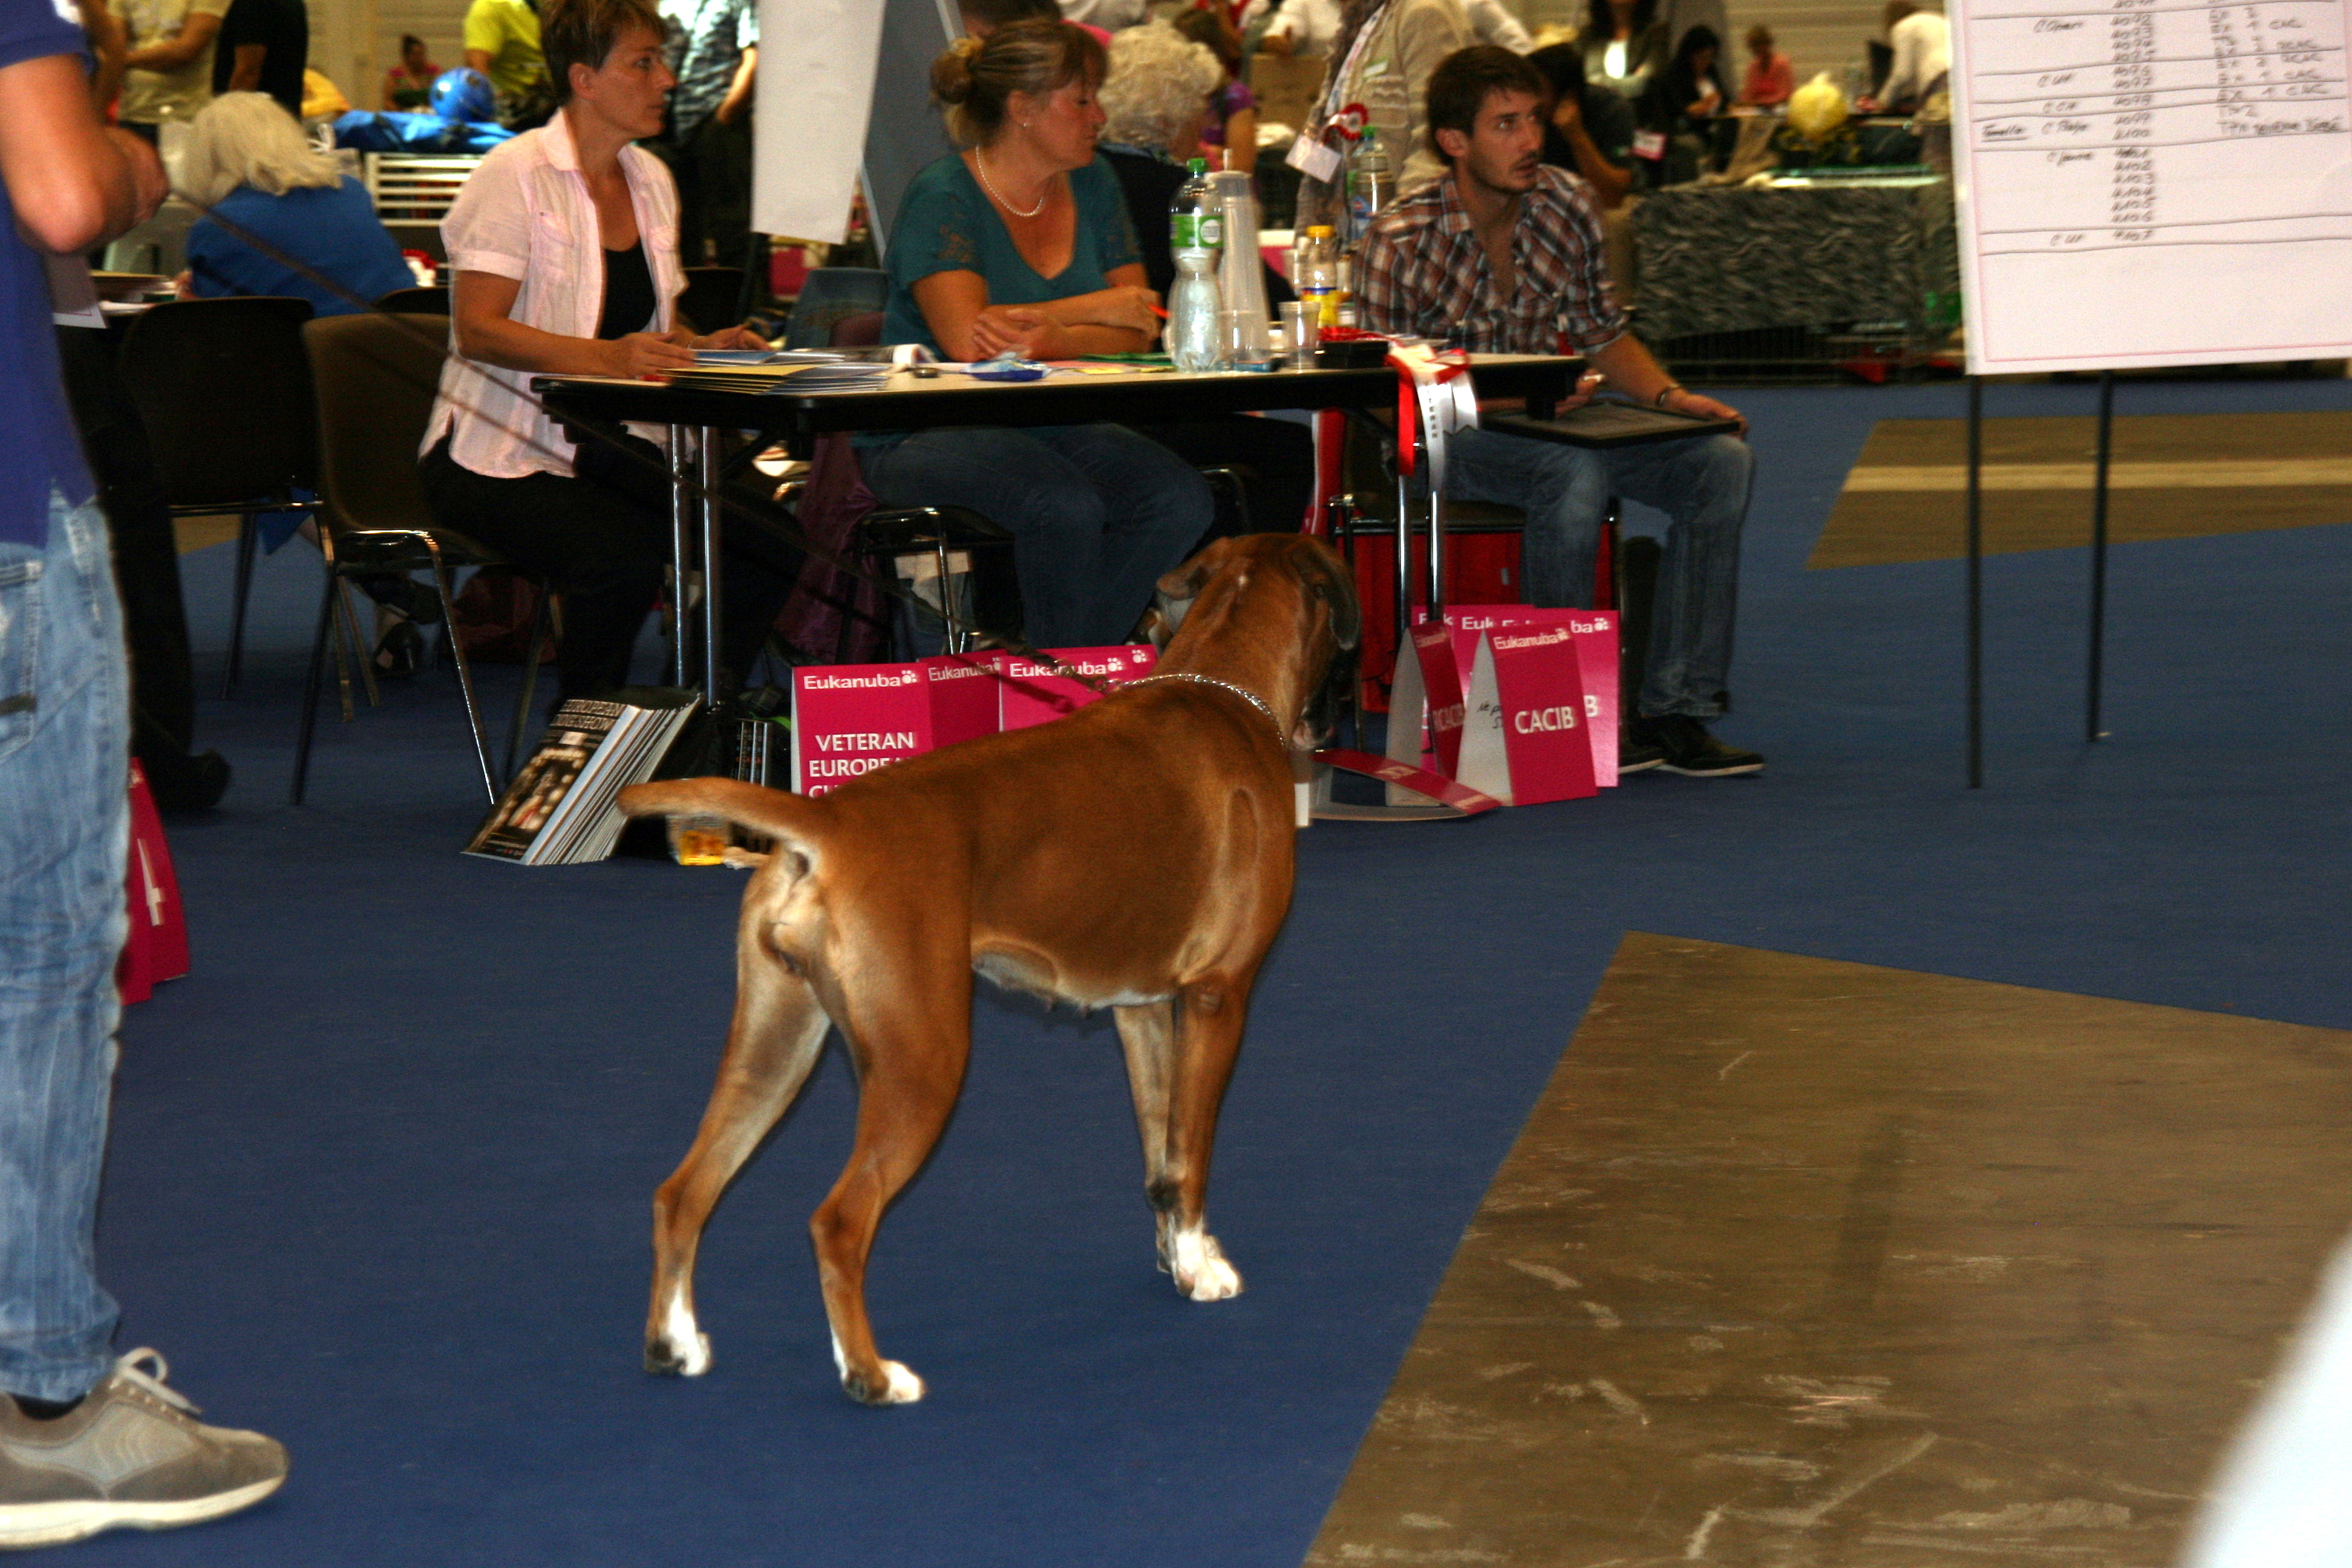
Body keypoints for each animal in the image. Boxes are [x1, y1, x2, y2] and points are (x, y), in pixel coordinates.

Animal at [616, 533, 1360, 1405]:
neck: (1225, 689)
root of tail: (825, 822)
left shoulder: (1141, 1009)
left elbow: (1162, 1158)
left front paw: (1178, 1260)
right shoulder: (1219, 998)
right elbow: (1194, 1154)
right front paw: (1204, 1269)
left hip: (774, 1048)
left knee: (682, 1193)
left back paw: (675, 1344)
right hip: (922, 1061)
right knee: (839, 1222)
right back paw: (871, 1375)